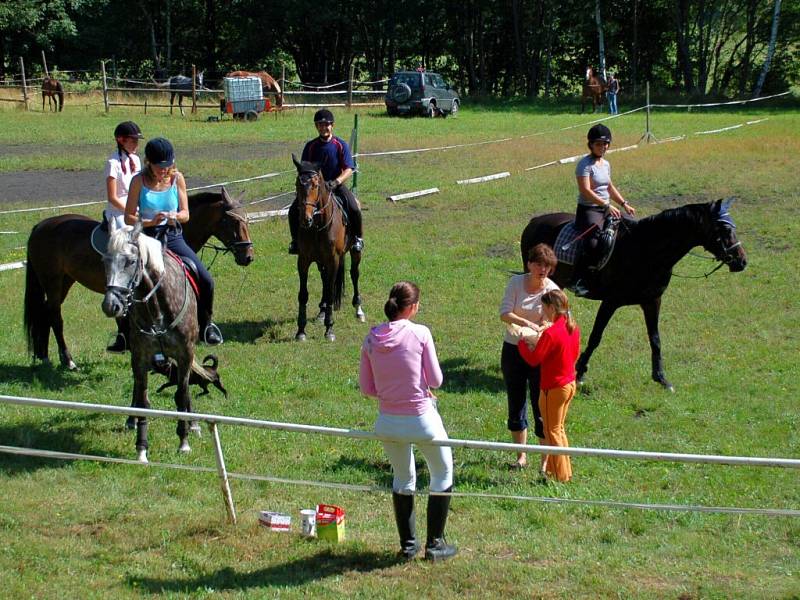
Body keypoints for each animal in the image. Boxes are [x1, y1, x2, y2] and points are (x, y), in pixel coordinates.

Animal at [292, 155, 364, 342]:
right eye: (297, 184)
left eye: (316, 185)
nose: (305, 219)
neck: (318, 226)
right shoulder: (303, 260)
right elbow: (303, 294)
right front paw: (301, 331)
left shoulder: (333, 260)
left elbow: (331, 292)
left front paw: (329, 329)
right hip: (321, 261)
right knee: (325, 280)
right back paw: (322, 311)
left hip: (354, 252)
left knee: (354, 274)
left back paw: (358, 310)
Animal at [520, 199, 748, 392]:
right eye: (724, 229)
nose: (742, 261)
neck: (645, 251)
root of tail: (535, 221)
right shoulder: (610, 302)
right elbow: (596, 337)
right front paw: (580, 372)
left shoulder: (652, 301)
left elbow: (655, 339)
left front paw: (661, 378)